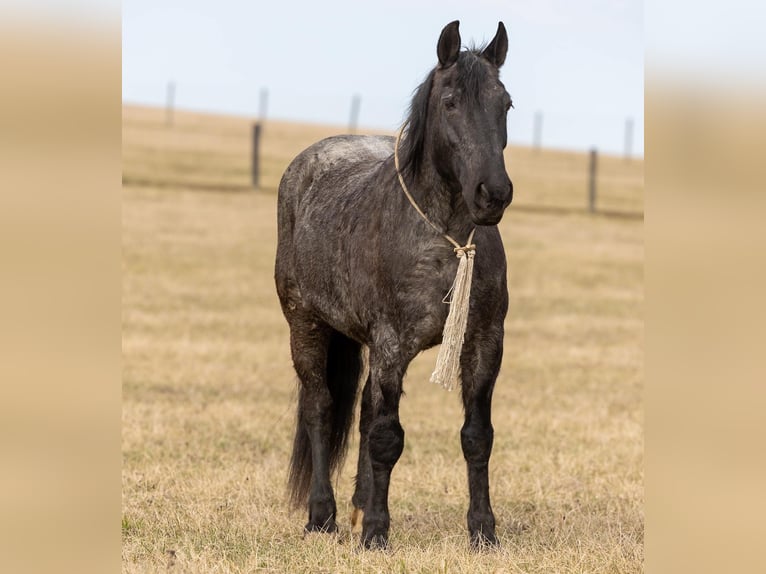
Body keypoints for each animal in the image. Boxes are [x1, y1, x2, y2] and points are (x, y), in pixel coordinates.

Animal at [276, 20, 516, 552]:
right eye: (450, 101)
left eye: (506, 103)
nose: (493, 194)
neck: (446, 243)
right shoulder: (390, 344)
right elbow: (387, 437)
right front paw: (377, 534)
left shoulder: (484, 344)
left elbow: (476, 436)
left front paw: (484, 530)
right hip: (306, 324)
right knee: (321, 408)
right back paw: (322, 515)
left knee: (364, 413)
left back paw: (359, 506)